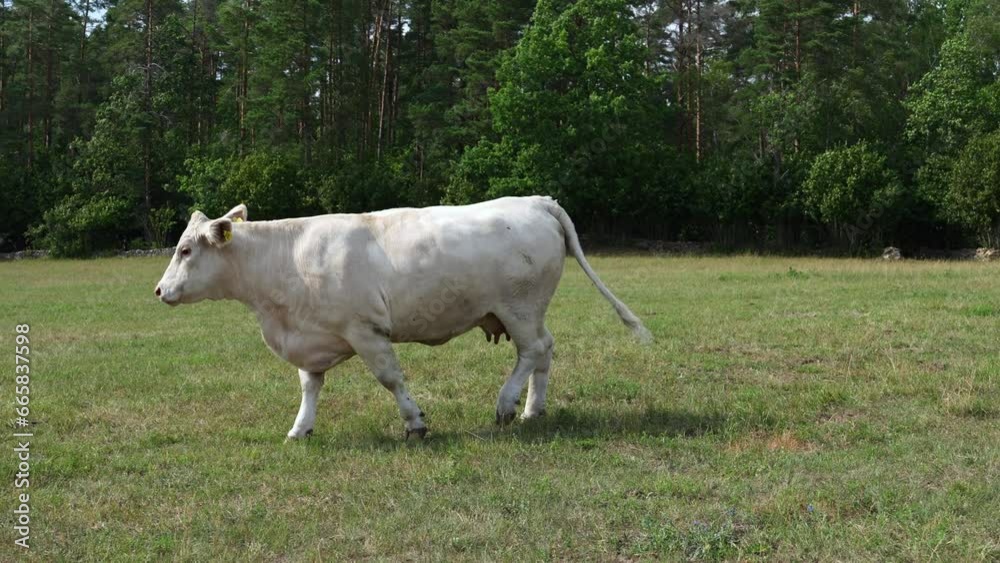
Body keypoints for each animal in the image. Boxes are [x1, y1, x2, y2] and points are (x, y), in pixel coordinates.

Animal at [154, 196, 652, 441]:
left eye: (185, 249)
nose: (159, 291)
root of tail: (537, 200)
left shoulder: (365, 331)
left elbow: (391, 378)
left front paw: (415, 423)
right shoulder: (313, 335)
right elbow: (310, 386)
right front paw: (300, 428)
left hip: (520, 308)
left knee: (532, 351)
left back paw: (507, 405)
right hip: (526, 312)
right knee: (545, 352)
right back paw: (533, 409)